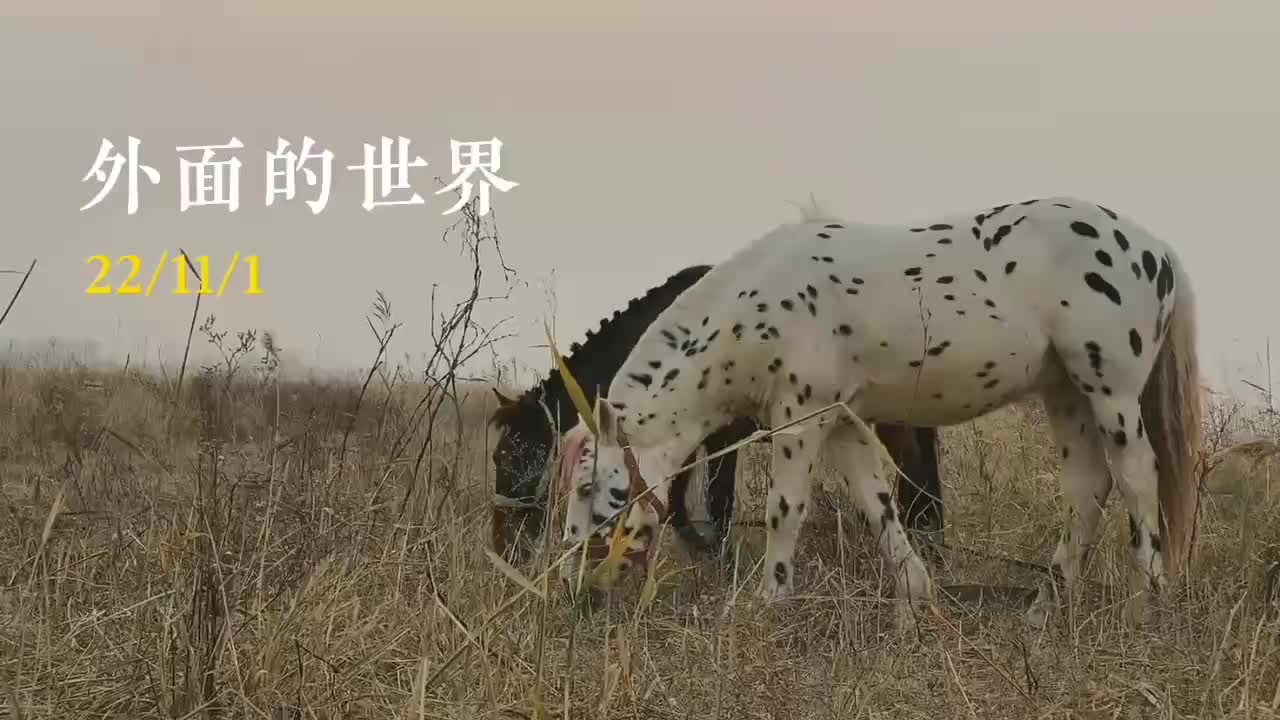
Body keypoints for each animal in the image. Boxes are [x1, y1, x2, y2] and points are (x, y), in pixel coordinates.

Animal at [483, 263, 947, 561]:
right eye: (496, 457)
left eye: (517, 456)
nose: (505, 547)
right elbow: (676, 499)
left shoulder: (724, 432)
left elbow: (715, 497)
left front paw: (717, 554)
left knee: (915, 468)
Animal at [558, 197, 1198, 627]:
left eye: (592, 489)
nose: (569, 585)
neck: (756, 304)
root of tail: (1157, 249)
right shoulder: (839, 421)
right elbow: (878, 503)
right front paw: (915, 597)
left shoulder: (801, 415)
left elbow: (785, 510)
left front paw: (767, 602)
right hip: (1065, 393)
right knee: (1088, 487)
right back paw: (1046, 605)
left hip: (1109, 391)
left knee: (1137, 479)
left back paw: (1145, 604)